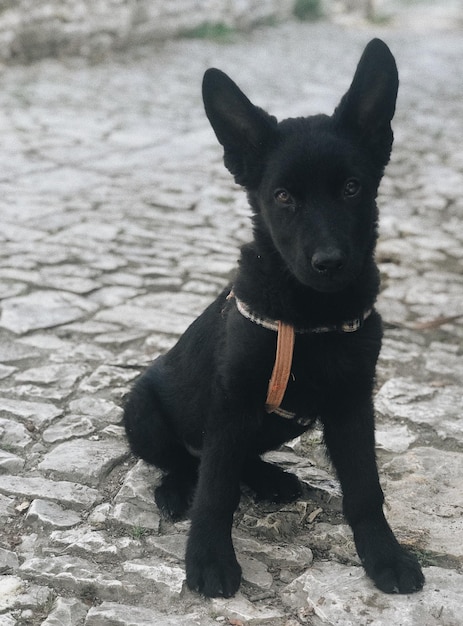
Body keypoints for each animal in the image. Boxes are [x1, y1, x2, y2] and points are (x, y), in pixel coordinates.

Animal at [125, 39, 426, 596]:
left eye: (352, 188)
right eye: (283, 196)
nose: (329, 262)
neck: (311, 314)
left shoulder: (353, 403)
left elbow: (365, 488)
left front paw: (385, 556)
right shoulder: (232, 401)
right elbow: (216, 490)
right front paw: (208, 558)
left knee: (238, 459)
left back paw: (270, 478)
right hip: (142, 410)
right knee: (187, 462)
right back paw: (177, 489)